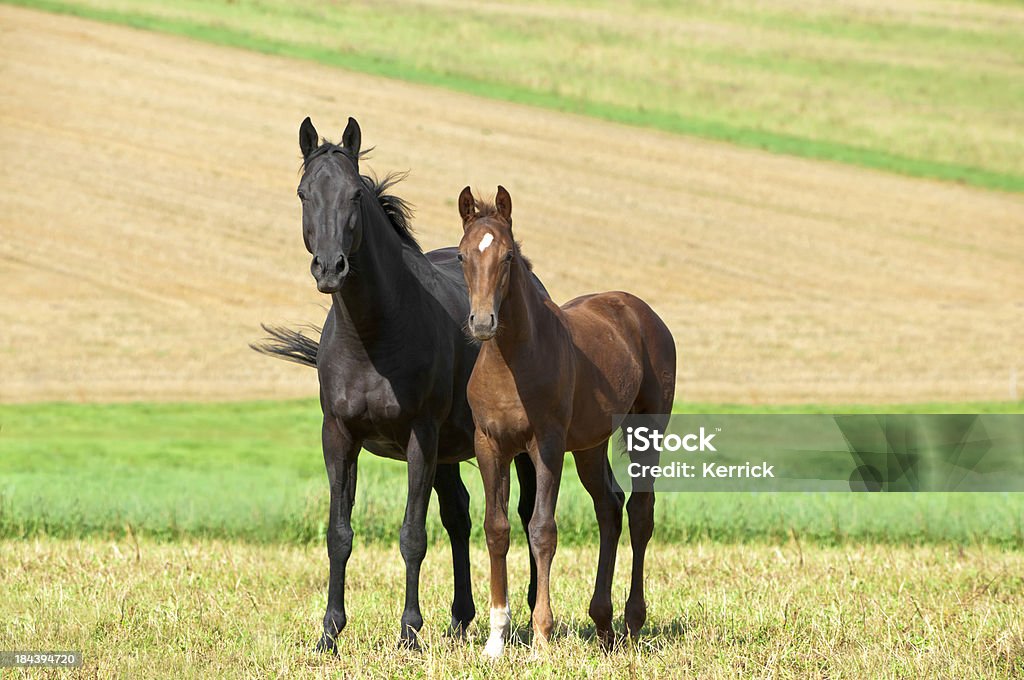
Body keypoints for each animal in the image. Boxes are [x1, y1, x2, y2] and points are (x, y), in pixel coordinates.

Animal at [253, 118, 544, 655]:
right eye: (304, 194)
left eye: (354, 195)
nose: (330, 268)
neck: (373, 334)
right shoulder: (339, 436)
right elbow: (339, 533)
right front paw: (330, 632)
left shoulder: (419, 437)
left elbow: (412, 534)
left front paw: (409, 632)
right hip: (450, 451)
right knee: (458, 517)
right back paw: (459, 618)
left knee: (524, 509)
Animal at [456, 187, 671, 659]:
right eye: (462, 255)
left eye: (508, 256)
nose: (482, 322)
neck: (512, 361)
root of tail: (641, 311)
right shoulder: (489, 446)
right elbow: (496, 529)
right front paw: (496, 640)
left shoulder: (547, 446)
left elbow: (542, 530)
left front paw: (541, 638)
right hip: (591, 445)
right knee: (609, 506)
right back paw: (603, 625)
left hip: (646, 430)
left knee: (640, 512)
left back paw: (632, 621)